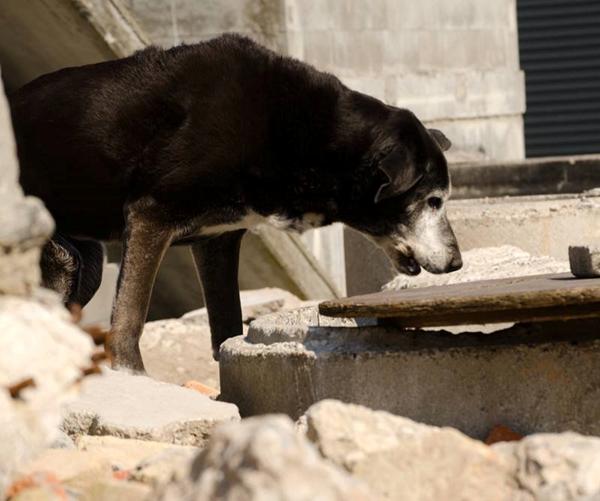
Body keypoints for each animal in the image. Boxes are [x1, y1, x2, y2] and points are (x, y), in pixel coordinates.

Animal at [9, 34, 462, 372]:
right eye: (433, 201)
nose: (458, 263)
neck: (304, 134)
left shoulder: (218, 241)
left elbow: (227, 323)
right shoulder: (151, 215)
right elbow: (131, 314)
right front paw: (131, 373)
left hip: (87, 265)